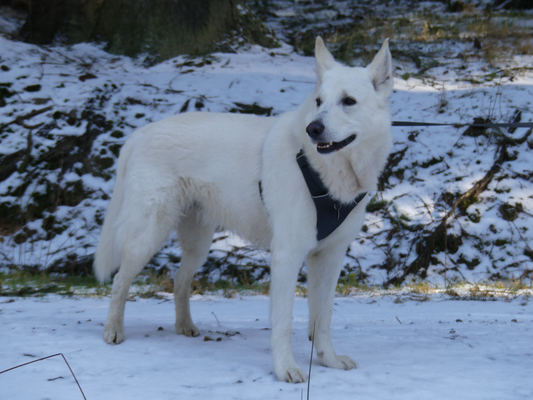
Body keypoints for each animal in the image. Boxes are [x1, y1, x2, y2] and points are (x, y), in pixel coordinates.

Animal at [93, 38, 392, 384]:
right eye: (319, 101)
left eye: (348, 101)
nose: (313, 128)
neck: (324, 173)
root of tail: (140, 133)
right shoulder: (287, 255)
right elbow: (283, 322)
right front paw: (285, 369)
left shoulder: (329, 256)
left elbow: (323, 317)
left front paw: (328, 360)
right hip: (147, 236)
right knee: (120, 282)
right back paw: (112, 331)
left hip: (198, 243)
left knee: (180, 280)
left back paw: (185, 327)